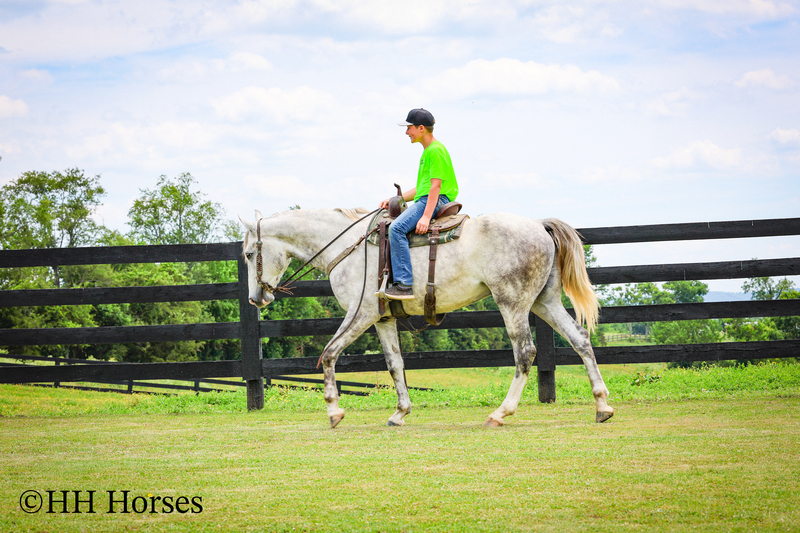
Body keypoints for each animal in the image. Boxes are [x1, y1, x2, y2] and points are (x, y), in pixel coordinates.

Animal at [238, 207, 614, 428]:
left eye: (249, 254)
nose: (256, 298)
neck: (349, 246)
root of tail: (538, 225)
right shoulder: (383, 319)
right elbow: (395, 364)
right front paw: (400, 412)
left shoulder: (360, 314)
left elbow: (329, 354)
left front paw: (334, 411)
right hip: (543, 302)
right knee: (580, 340)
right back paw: (602, 406)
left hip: (513, 303)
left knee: (525, 353)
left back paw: (500, 413)